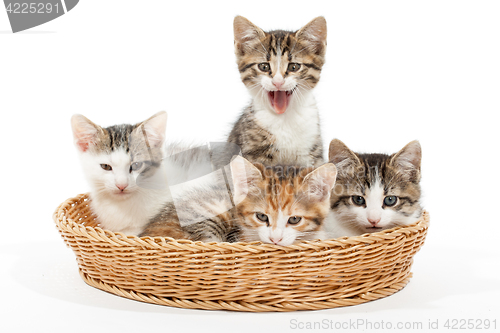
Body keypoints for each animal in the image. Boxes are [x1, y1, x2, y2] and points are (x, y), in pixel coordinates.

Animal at [228, 16, 328, 166]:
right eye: (264, 66)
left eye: (294, 67)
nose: (278, 82)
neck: (284, 118)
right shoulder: (251, 152)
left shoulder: (312, 152)